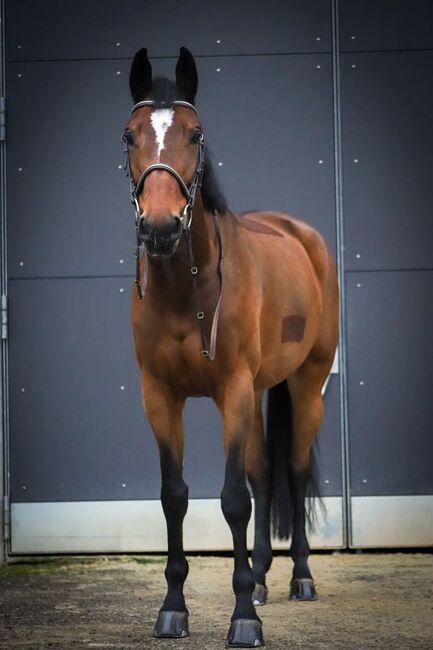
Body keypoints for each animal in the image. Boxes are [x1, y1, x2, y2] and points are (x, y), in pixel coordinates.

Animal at [122, 46, 339, 648]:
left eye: (195, 135)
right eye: (129, 136)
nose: (160, 227)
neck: (185, 292)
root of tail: (304, 236)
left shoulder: (233, 391)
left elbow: (233, 500)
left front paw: (244, 619)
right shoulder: (159, 397)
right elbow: (176, 496)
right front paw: (174, 609)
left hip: (305, 384)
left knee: (292, 473)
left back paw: (301, 579)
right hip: (262, 390)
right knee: (264, 476)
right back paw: (262, 579)